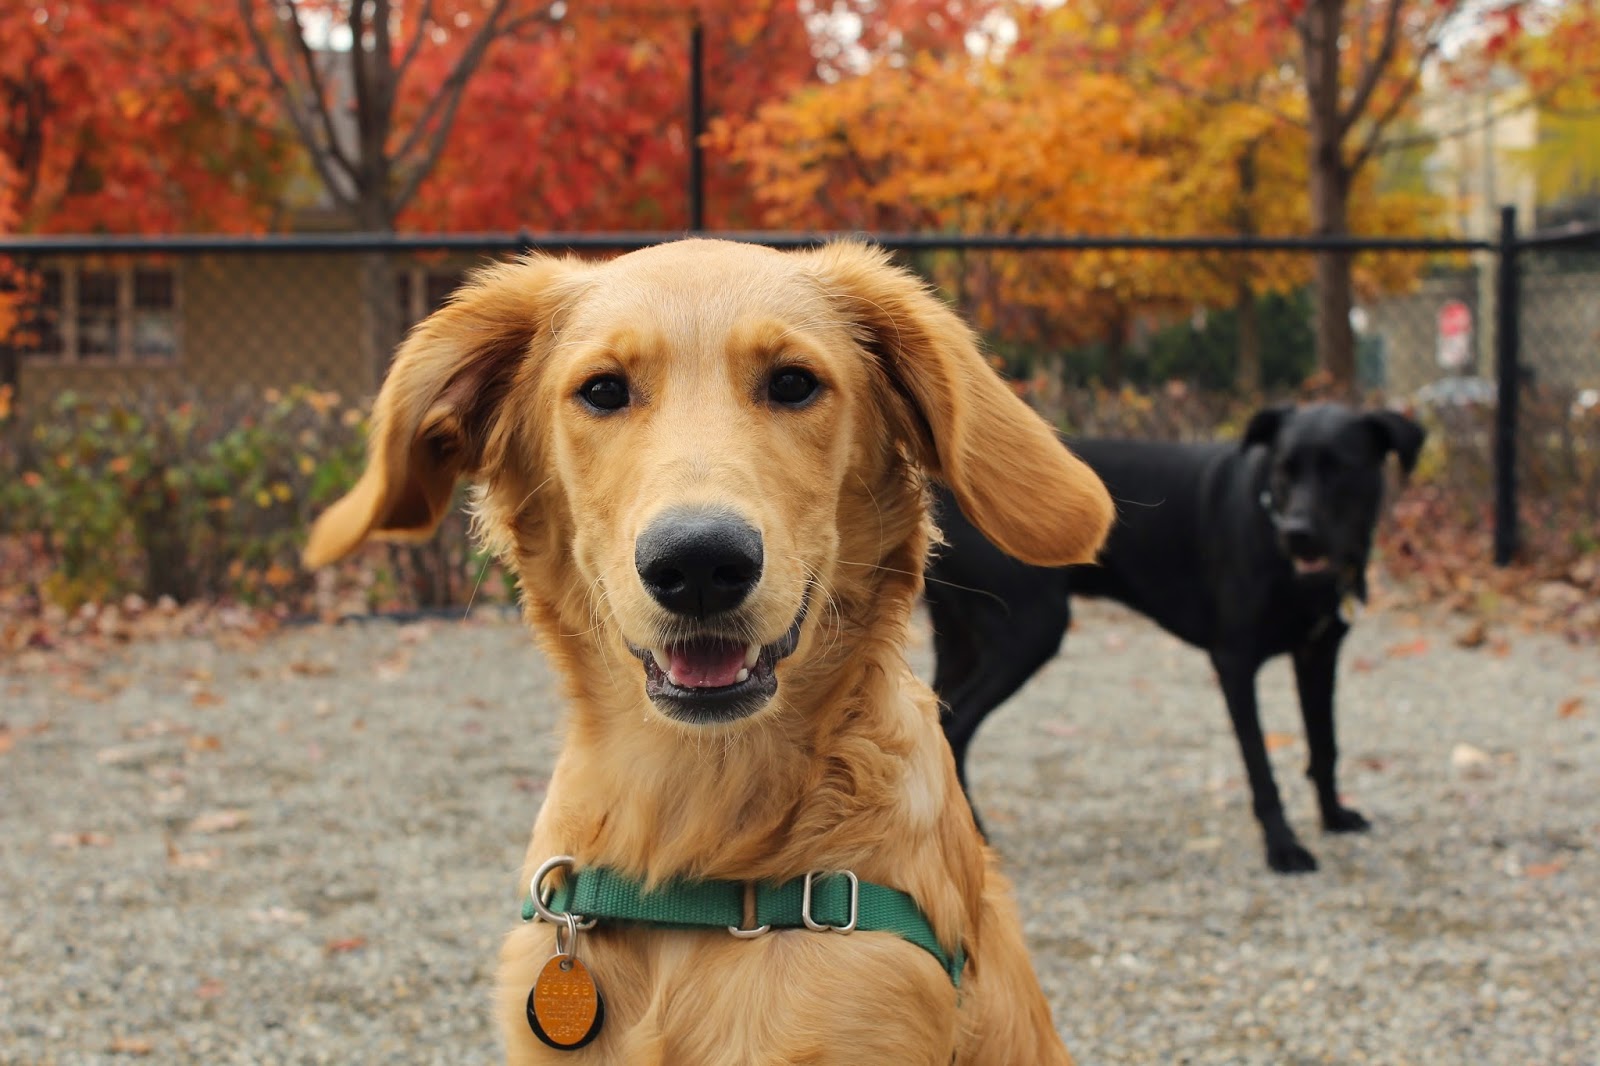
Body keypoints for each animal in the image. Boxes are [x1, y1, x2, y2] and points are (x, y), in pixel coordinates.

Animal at [928, 403, 1427, 870]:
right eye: (1284, 469)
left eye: (1342, 468)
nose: (1297, 534)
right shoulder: (1235, 661)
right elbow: (1260, 766)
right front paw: (1283, 846)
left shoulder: (1318, 653)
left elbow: (1325, 744)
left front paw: (1333, 817)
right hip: (1032, 629)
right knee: (954, 727)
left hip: (962, 644)